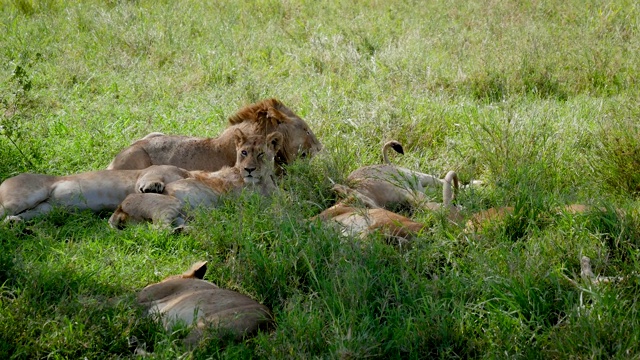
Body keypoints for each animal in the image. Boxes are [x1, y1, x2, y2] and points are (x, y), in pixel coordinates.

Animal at [0, 165, 192, 221]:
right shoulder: (149, 172)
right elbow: (151, 178)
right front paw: (153, 186)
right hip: (22, 197)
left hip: (45, 209)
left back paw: (14, 223)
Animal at [109, 131, 282, 229]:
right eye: (244, 152)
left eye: (260, 154)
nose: (249, 169)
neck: (263, 182)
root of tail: (120, 208)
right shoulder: (243, 201)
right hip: (170, 204)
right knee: (158, 229)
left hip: (178, 215)